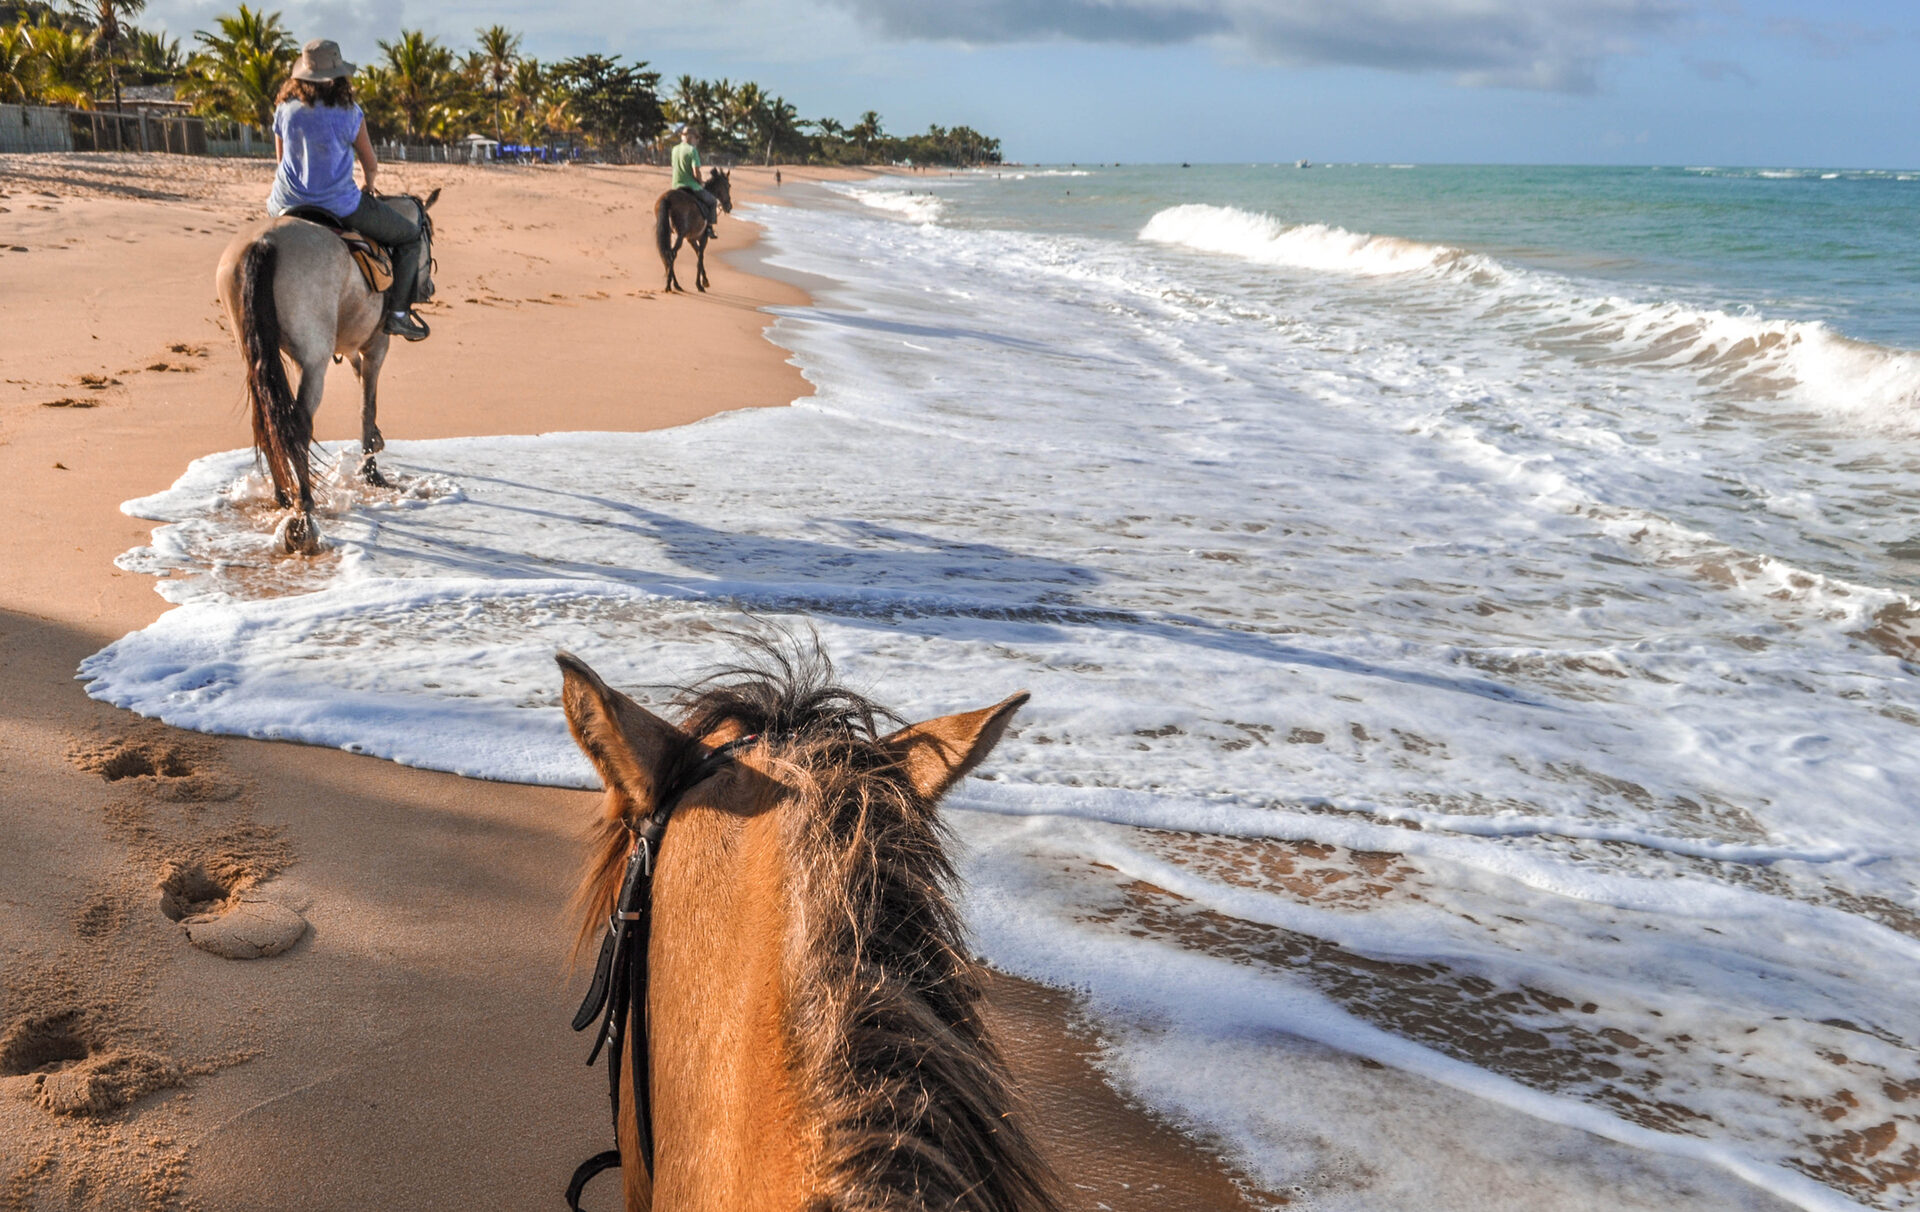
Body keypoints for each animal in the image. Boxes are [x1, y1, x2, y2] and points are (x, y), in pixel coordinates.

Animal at [216, 191, 437, 560]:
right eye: (428, 236)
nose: (429, 288)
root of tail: (264, 242)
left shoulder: (349, 347)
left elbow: (360, 384)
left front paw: (376, 444)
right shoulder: (376, 346)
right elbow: (367, 405)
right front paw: (371, 471)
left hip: (255, 351)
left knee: (266, 418)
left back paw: (283, 494)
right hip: (314, 359)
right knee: (298, 424)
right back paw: (304, 511)